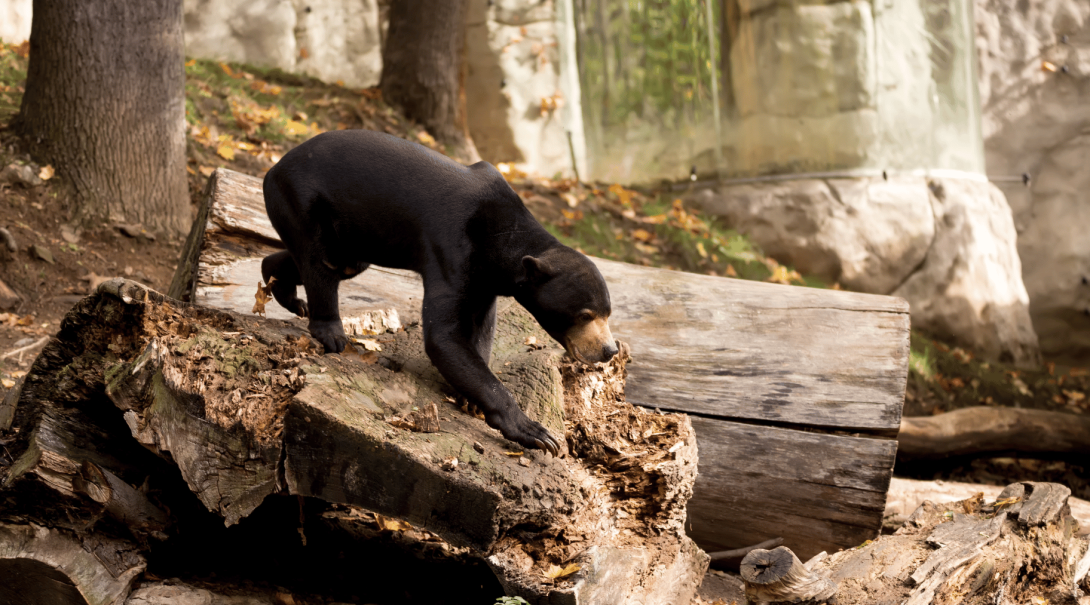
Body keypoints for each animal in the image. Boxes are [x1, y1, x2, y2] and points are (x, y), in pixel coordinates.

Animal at [260, 130, 619, 455]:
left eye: (607, 313)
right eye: (584, 315)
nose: (609, 350)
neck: (501, 241)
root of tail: (274, 167)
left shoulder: (484, 280)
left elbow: (480, 329)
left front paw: (468, 397)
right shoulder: (452, 250)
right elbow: (443, 335)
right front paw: (536, 433)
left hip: (352, 234)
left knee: (333, 262)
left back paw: (282, 287)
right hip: (304, 202)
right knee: (318, 260)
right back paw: (330, 332)